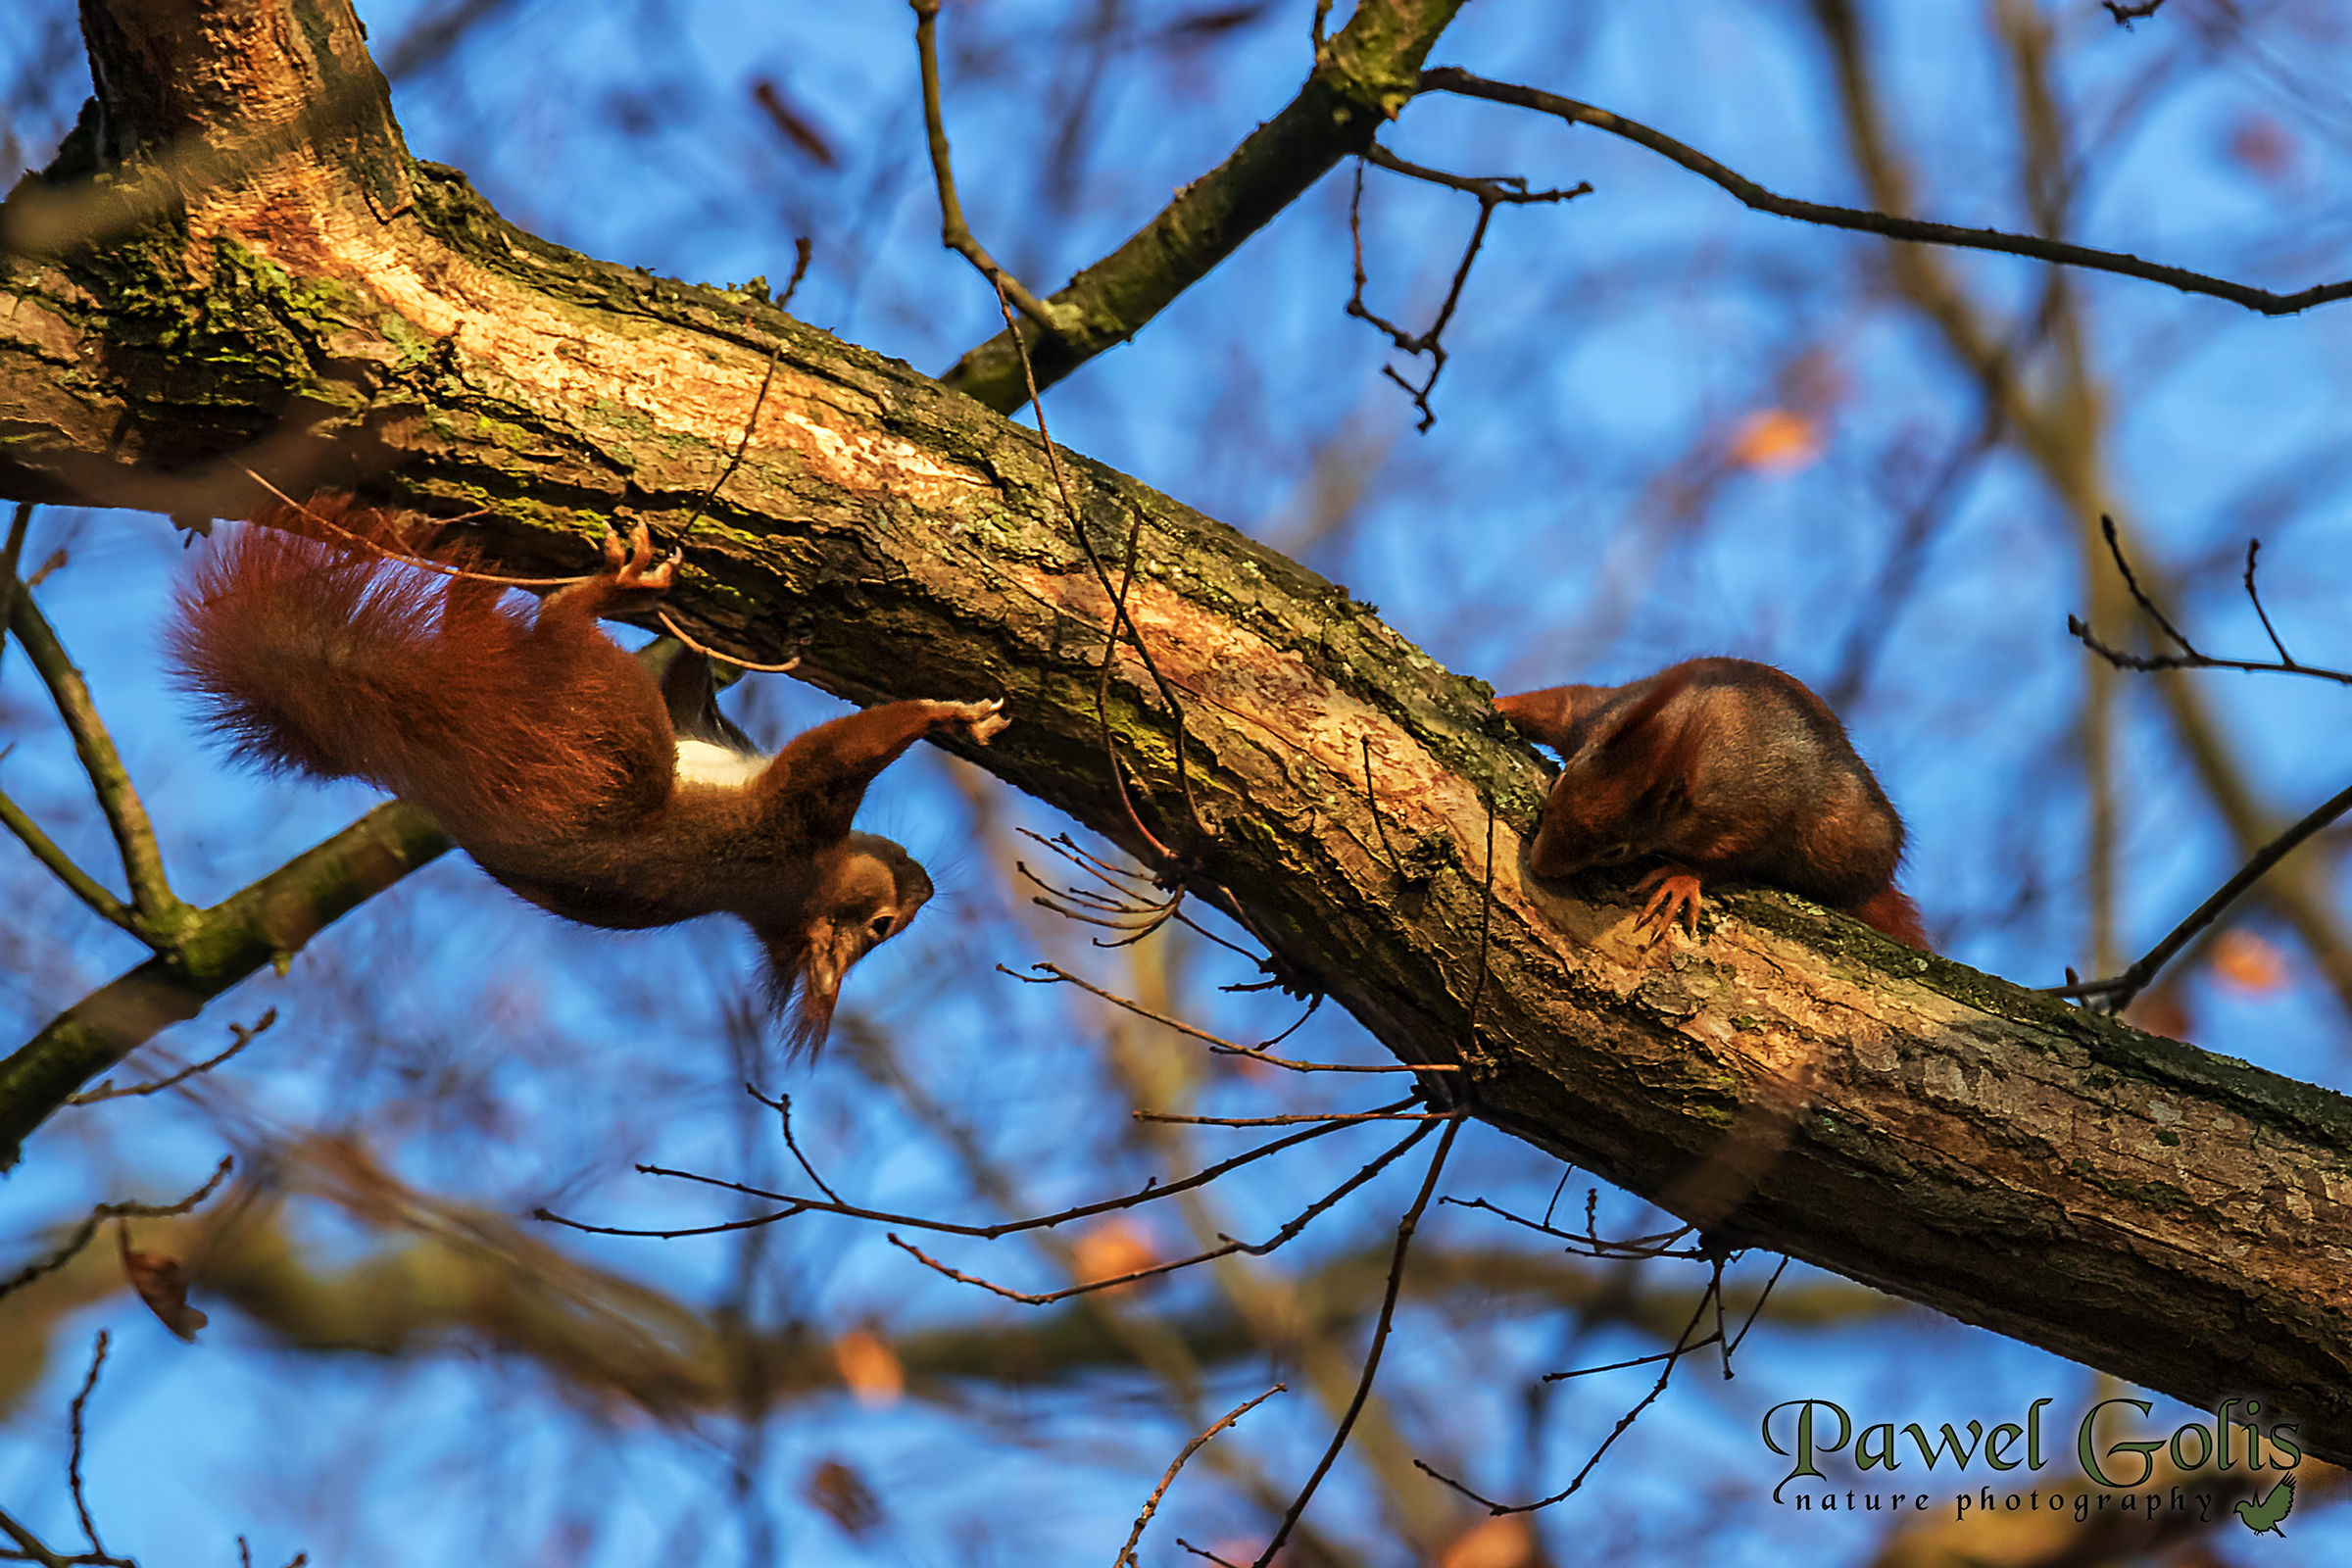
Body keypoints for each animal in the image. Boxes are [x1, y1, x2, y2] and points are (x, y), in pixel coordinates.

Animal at [171, 493, 1006, 1053]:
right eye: (883, 926)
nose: (929, 886)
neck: (795, 890)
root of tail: (440, 748)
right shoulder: (771, 796)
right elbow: (751, 714)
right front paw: (944, 717)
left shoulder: (781, 820)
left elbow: (833, 751)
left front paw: (943, 716)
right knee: (527, 625)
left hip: (606, 726)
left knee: (545, 629)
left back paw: (566, 590)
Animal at [1486, 658, 1929, 950]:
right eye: (1558, 786)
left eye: (1615, 851)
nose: (1539, 867)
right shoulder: (1595, 716)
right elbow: (1558, 704)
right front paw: (1499, 704)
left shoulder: (1747, 820)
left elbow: (1733, 860)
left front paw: (1680, 880)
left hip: (1838, 838)